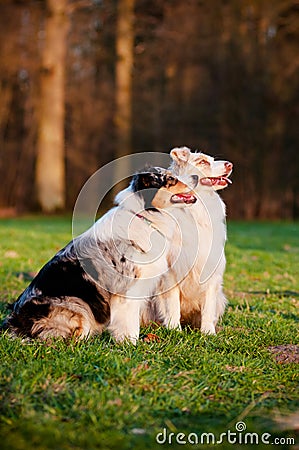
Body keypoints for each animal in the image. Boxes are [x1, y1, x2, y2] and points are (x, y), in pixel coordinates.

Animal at [2, 171, 199, 342]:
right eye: (170, 179)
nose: (196, 176)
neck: (143, 216)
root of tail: (13, 323)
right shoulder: (126, 290)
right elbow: (129, 323)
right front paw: (130, 344)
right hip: (77, 304)